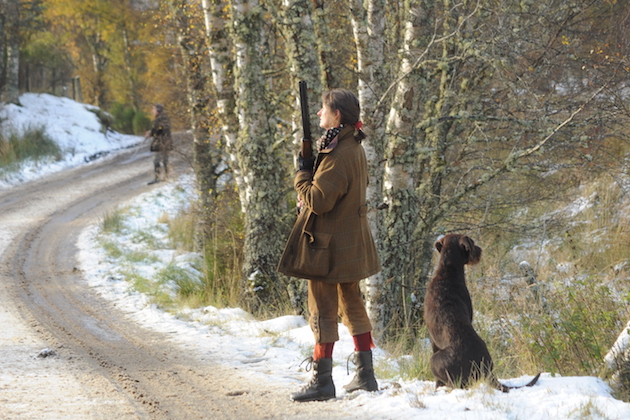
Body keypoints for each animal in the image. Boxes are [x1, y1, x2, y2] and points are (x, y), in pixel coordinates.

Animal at [422, 235, 540, 392]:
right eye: (472, 243)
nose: (480, 249)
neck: (447, 272)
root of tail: (485, 369)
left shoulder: (433, 340)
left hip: (435, 361)